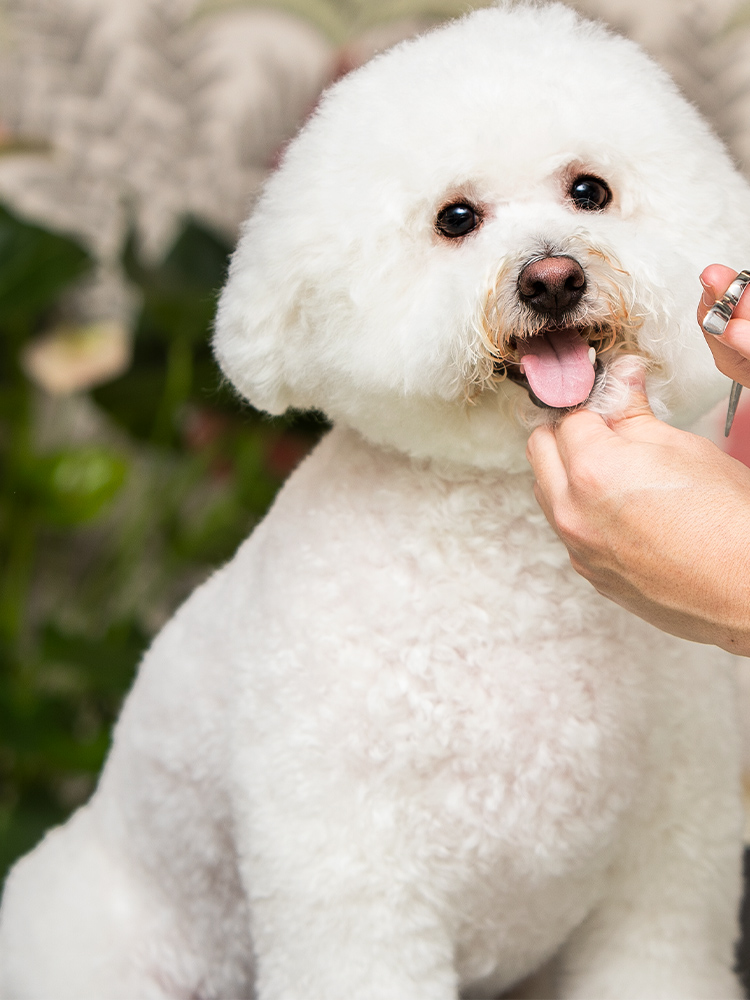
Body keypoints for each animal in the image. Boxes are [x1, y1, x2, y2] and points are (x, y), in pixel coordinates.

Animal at [1, 3, 750, 996]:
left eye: (589, 191)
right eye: (456, 218)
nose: (552, 277)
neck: (508, 563)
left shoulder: (666, 868)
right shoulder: (353, 882)